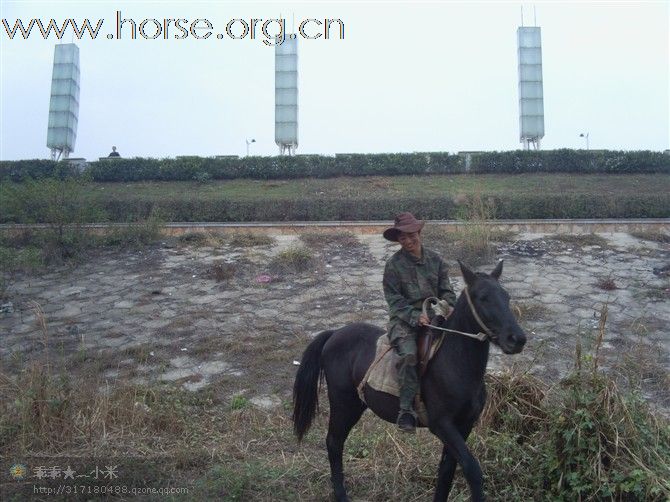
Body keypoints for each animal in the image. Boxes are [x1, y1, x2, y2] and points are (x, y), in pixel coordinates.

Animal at [294, 260, 532, 500]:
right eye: (483, 297)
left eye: (506, 296)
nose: (517, 339)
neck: (456, 363)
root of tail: (334, 334)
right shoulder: (442, 425)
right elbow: (472, 469)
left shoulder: (464, 425)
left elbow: (446, 471)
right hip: (344, 404)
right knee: (334, 443)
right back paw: (341, 494)